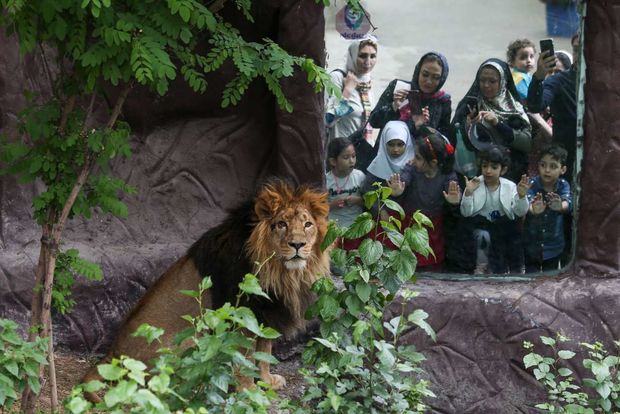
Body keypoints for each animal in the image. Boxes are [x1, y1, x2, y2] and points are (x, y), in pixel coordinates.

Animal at [85, 180, 332, 398]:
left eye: (307, 224)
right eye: (282, 224)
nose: (298, 245)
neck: (281, 273)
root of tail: (114, 354)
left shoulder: (265, 313)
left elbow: (264, 352)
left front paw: (267, 381)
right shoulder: (242, 314)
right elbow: (245, 356)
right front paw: (249, 391)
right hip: (194, 337)